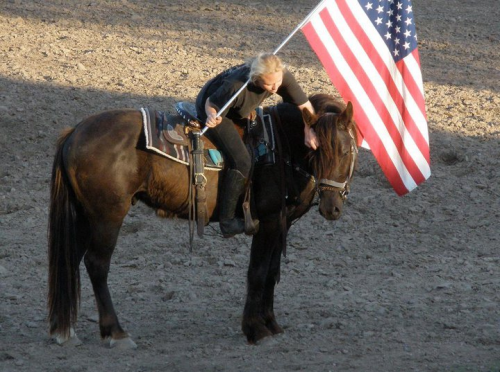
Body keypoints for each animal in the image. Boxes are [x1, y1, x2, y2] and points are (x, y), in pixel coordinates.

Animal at [47, 91, 358, 348]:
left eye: (347, 152)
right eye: (322, 150)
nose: (331, 208)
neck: (278, 147)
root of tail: (76, 131)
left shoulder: (282, 223)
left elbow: (271, 272)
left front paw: (271, 323)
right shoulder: (268, 221)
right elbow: (258, 272)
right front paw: (256, 329)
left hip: (84, 215)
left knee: (71, 259)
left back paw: (66, 331)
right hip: (107, 216)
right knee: (97, 264)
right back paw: (115, 332)